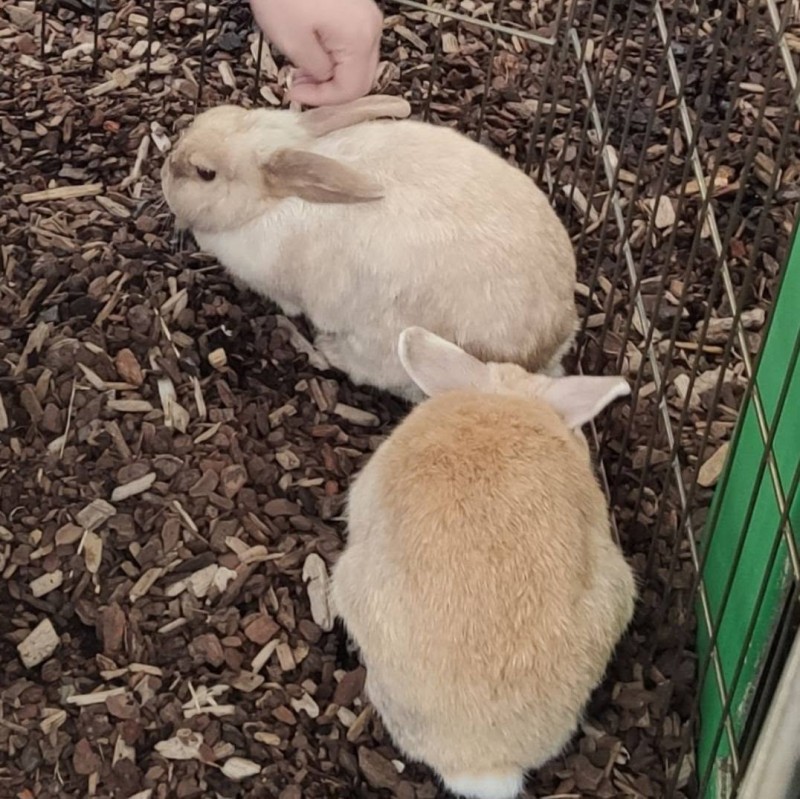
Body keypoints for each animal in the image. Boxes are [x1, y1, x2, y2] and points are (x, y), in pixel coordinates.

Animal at [160, 95, 578, 402]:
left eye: (205, 173)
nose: (166, 169)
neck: (271, 203)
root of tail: (544, 346)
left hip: (391, 344)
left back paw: (326, 349)